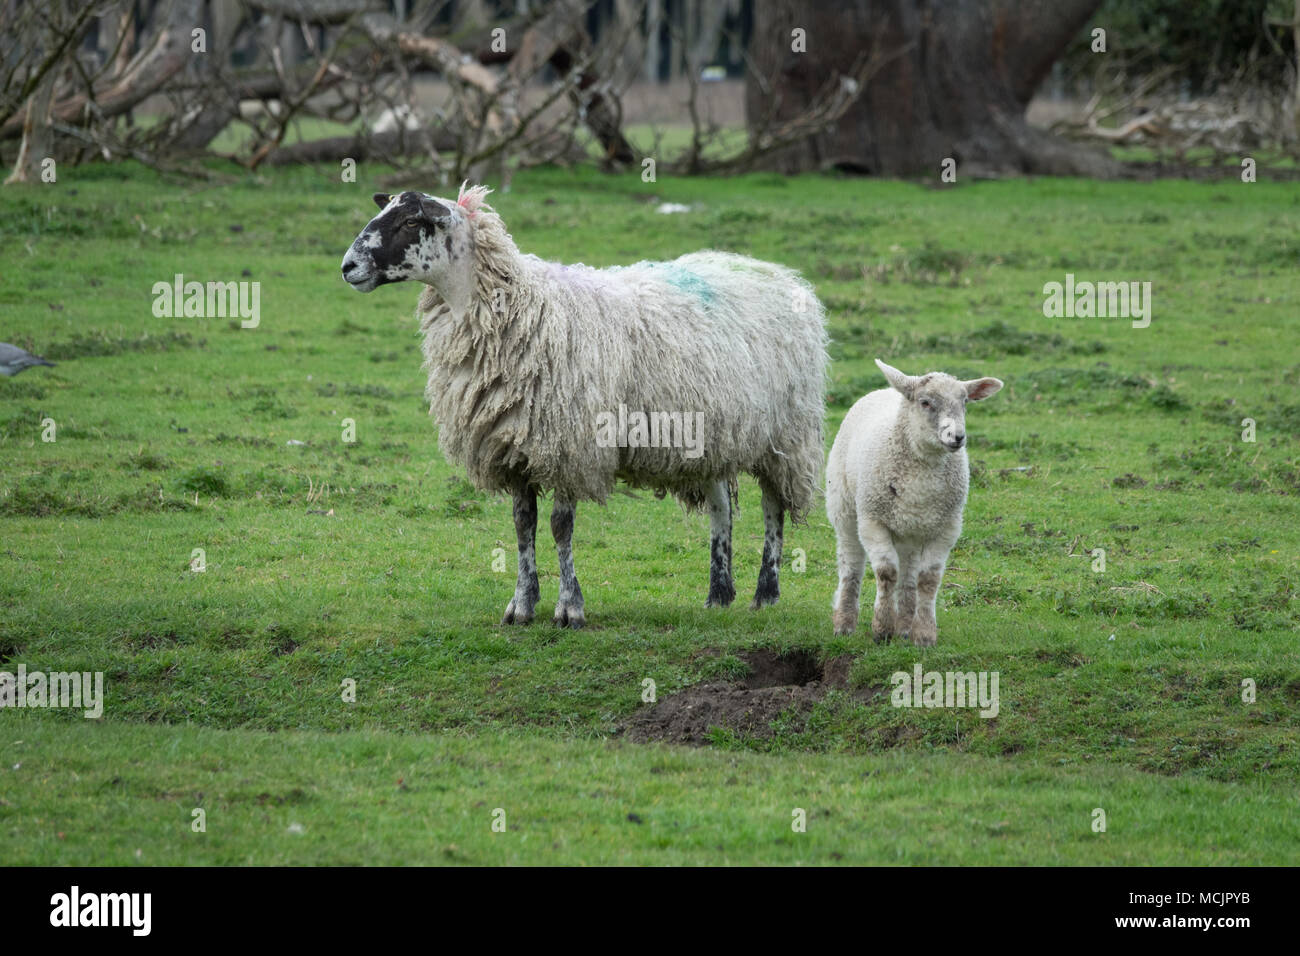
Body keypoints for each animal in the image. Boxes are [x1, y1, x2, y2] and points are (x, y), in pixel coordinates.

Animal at [340, 184, 828, 627]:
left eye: (410, 222)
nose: (348, 266)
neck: (514, 309)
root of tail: (774, 271)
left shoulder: (568, 444)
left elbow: (561, 526)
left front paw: (569, 608)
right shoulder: (513, 446)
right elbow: (522, 524)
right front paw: (521, 606)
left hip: (786, 432)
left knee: (773, 506)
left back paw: (765, 592)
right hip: (713, 431)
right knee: (721, 506)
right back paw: (718, 593)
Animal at [826, 358, 1002, 646]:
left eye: (964, 401)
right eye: (925, 402)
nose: (958, 437)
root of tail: (886, 389)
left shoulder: (946, 528)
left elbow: (928, 579)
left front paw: (924, 635)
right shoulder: (872, 520)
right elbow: (886, 573)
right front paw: (882, 629)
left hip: (912, 530)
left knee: (908, 576)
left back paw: (905, 626)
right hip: (845, 508)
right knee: (851, 564)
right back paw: (844, 623)